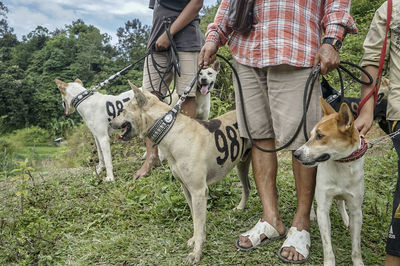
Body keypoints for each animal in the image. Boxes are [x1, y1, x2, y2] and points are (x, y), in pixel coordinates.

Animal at [294, 98, 366, 266]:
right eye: (310, 135)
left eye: (320, 136)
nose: (296, 154)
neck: (342, 164)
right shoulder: (323, 209)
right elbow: (327, 246)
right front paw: (329, 262)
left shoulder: (356, 210)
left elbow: (356, 246)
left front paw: (358, 262)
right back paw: (311, 214)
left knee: (340, 202)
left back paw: (346, 219)